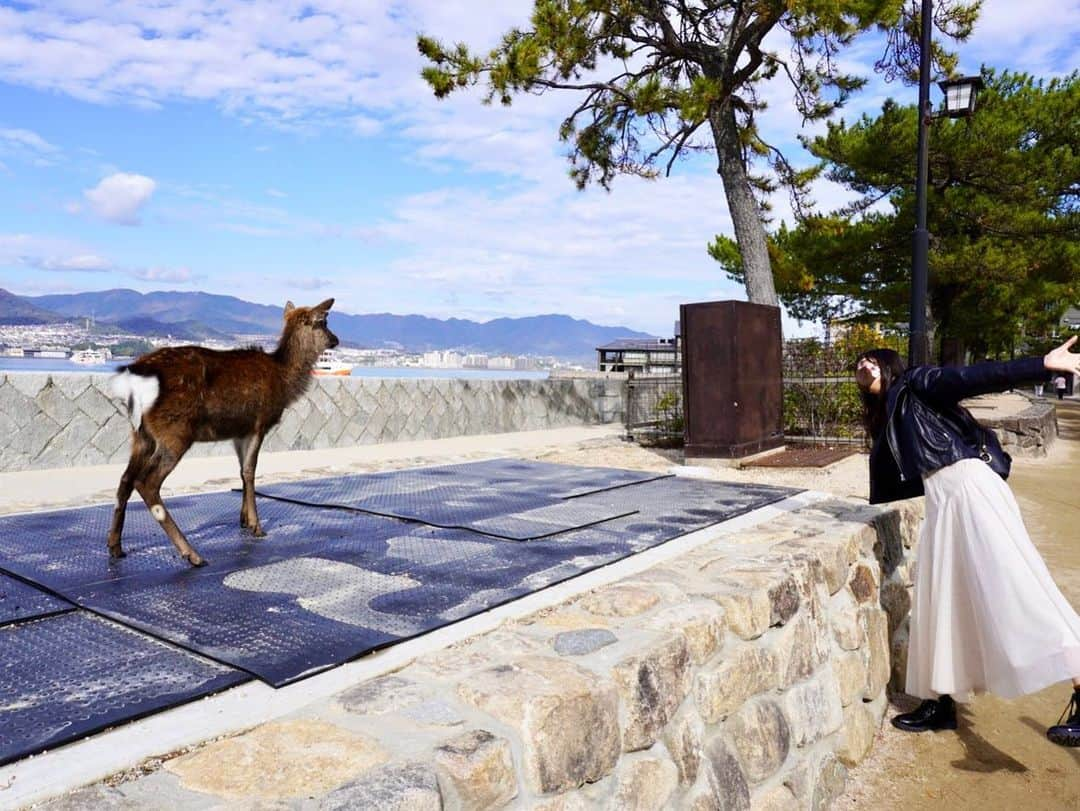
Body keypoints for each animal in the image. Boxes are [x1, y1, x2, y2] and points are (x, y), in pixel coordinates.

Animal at [106, 295, 336, 565]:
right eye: (323, 322)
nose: (335, 340)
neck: (284, 381)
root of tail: (136, 379)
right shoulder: (259, 423)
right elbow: (250, 471)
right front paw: (256, 526)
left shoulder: (239, 431)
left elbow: (241, 471)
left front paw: (243, 520)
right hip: (175, 431)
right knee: (146, 482)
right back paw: (192, 554)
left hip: (141, 434)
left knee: (125, 480)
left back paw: (115, 546)